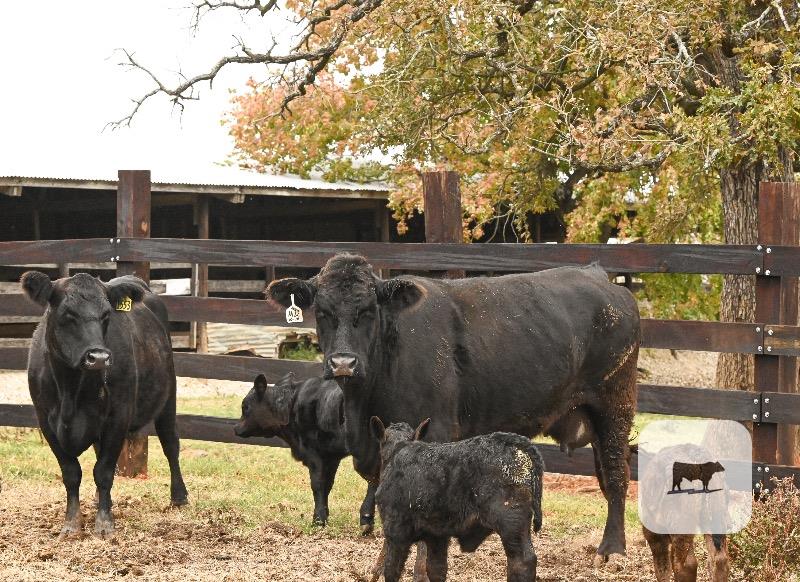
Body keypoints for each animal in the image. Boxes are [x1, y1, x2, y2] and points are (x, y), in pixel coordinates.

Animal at [22, 271, 187, 539]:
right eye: (68, 313)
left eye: (106, 314)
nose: (98, 358)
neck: (71, 389)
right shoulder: (45, 421)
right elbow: (71, 473)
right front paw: (72, 523)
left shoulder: (118, 416)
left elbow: (104, 471)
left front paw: (104, 523)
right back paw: (101, 499)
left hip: (168, 395)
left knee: (171, 444)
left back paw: (179, 497)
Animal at [234, 372, 377, 531]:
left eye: (245, 406)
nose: (236, 428)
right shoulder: (331, 456)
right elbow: (327, 485)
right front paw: (324, 516)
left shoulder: (314, 453)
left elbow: (317, 484)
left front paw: (318, 520)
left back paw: (366, 519)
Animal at [267, 254, 640, 560]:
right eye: (323, 312)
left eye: (369, 310)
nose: (343, 363)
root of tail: (597, 276)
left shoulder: (436, 431)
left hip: (615, 405)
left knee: (616, 476)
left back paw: (612, 549)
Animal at [371, 417, 543, 582]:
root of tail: (510, 439)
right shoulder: (436, 536)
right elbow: (436, 570)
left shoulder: (395, 532)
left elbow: (391, 570)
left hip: (510, 524)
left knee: (523, 562)